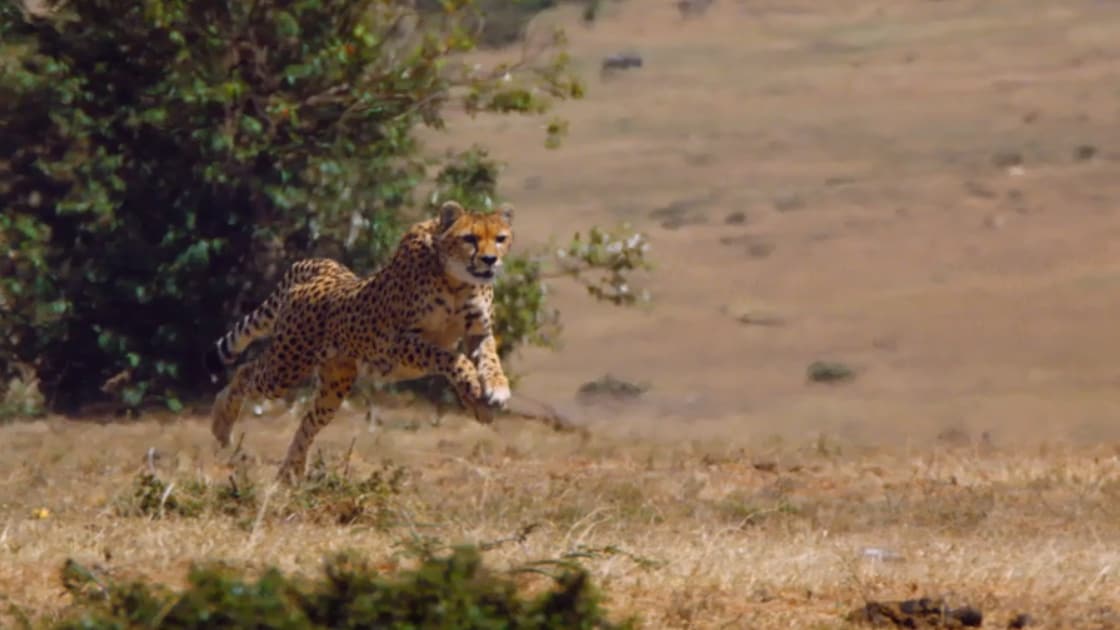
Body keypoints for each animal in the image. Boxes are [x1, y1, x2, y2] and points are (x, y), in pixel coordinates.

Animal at [204, 200, 512, 479]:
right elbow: (452, 358)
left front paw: (493, 391)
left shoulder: (478, 333)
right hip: (285, 367)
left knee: (309, 421)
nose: (490, 260)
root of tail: (323, 269)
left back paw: (290, 471)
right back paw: (222, 425)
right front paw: (474, 387)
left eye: (500, 238)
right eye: (469, 238)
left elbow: (490, 360)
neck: (456, 281)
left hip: (334, 384)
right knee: (246, 372)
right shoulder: (395, 344)